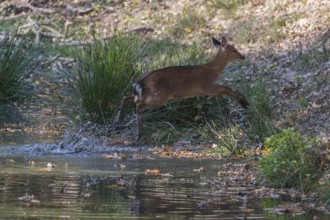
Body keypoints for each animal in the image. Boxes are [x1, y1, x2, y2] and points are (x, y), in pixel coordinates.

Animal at [114, 36, 249, 142]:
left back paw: (118, 126)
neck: (214, 70)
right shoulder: (207, 87)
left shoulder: (208, 88)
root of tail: (139, 83)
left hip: (148, 95)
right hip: (158, 97)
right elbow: (227, 88)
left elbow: (228, 89)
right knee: (138, 106)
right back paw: (138, 135)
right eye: (234, 50)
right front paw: (244, 102)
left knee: (127, 98)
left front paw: (244, 103)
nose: (243, 57)